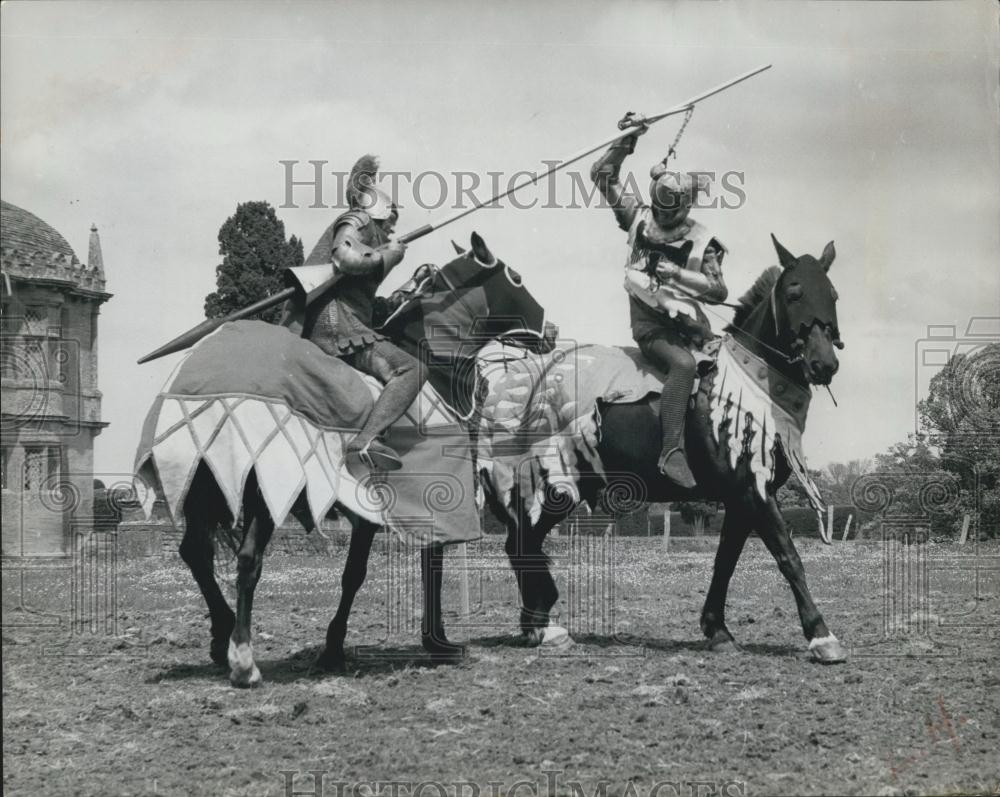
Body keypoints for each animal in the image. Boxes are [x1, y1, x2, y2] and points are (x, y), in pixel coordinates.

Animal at [488, 233, 848, 664]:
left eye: (833, 295)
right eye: (794, 292)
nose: (824, 364)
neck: (749, 384)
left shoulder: (740, 500)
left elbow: (725, 561)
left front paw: (717, 630)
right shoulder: (753, 492)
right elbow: (789, 557)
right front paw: (822, 636)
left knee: (523, 544)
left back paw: (538, 626)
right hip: (551, 488)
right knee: (521, 544)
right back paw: (543, 628)